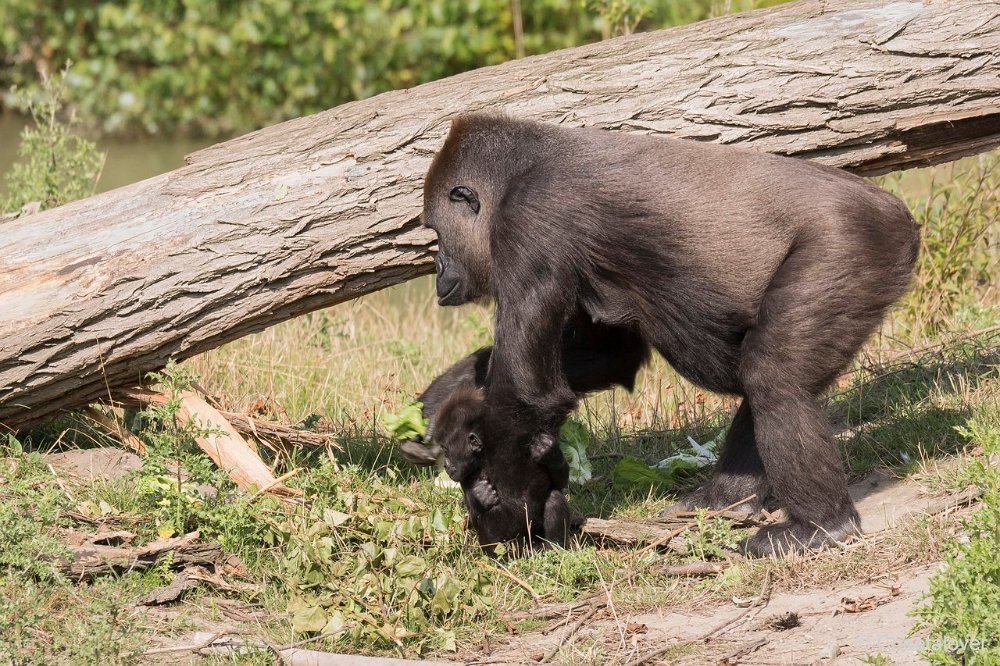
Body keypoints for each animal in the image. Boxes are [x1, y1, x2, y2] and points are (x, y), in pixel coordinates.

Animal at [432, 384, 572, 548]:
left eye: (445, 450)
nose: (445, 465)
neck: (482, 457)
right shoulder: (465, 474)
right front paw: (480, 493)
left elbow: (557, 483)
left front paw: (549, 451)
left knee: (553, 497)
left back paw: (553, 546)